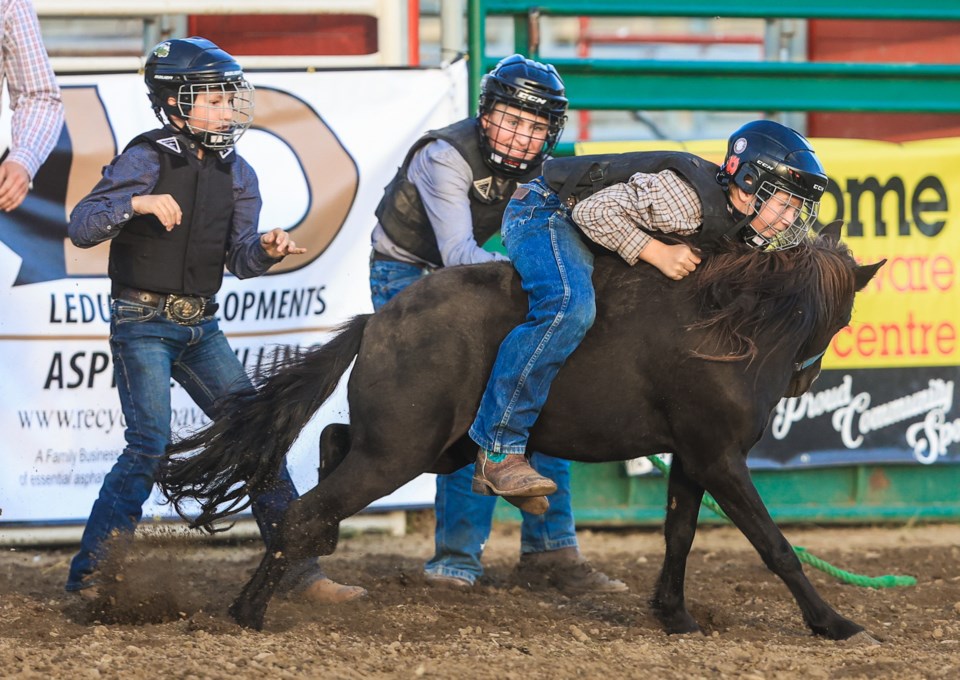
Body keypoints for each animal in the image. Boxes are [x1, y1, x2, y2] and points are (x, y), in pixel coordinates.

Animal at [159, 236, 884, 636]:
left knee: (334, 443)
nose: (802, 380)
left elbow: (678, 535)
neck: (732, 330)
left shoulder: (691, 457)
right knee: (307, 509)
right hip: (401, 449)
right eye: (843, 315)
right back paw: (248, 611)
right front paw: (837, 624)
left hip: (430, 445)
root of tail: (378, 319)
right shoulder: (720, 457)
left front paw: (675, 616)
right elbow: (774, 545)